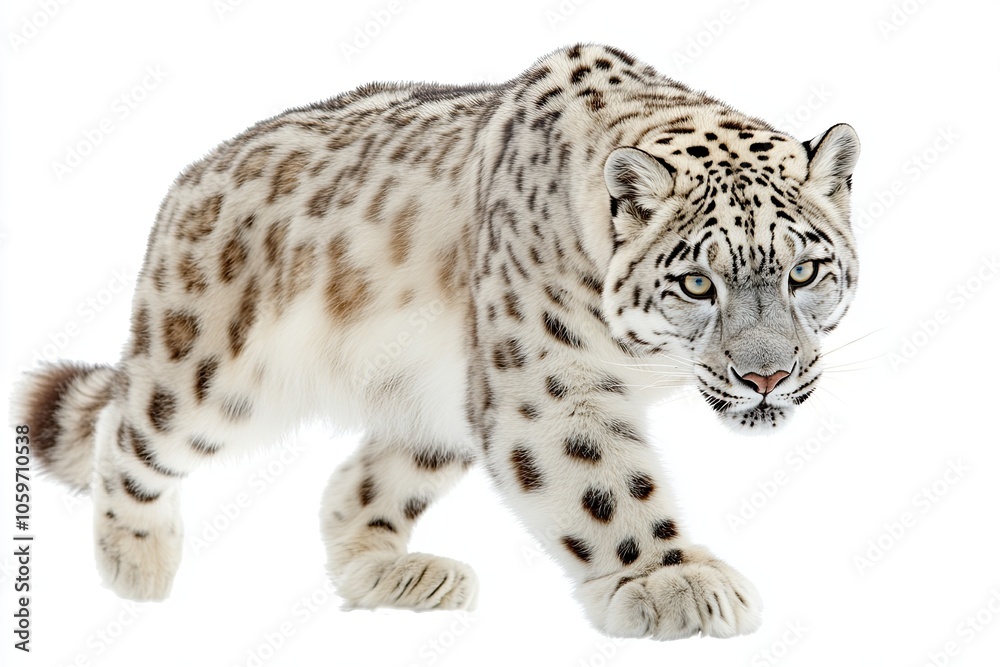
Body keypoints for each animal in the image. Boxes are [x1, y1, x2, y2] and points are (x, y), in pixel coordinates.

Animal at [12, 43, 859, 640]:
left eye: (805, 270)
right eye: (696, 283)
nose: (766, 376)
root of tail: (187, 180)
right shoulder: (551, 386)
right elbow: (607, 485)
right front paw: (672, 580)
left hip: (436, 405)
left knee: (355, 483)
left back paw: (394, 573)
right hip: (213, 373)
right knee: (130, 424)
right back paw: (136, 561)